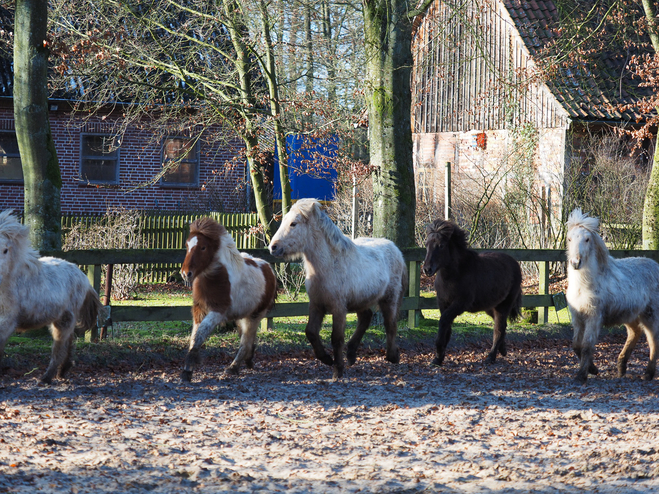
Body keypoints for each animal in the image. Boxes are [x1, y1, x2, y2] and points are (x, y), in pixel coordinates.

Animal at [0, 210, 102, 384]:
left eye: (6, 250)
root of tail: (83, 278)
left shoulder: (7, 320)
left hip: (64, 320)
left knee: (59, 348)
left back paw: (47, 377)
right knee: (69, 341)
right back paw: (63, 370)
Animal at [179, 216, 278, 382]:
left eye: (203, 247)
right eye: (187, 245)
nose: (186, 274)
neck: (217, 277)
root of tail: (268, 268)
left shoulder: (218, 311)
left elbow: (200, 335)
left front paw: (187, 371)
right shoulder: (199, 310)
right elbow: (194, 338)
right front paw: (188, 370)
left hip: (255, 315)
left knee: (246, 341)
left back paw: (233, 368)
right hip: (241, 316)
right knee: (247, 337)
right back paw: (248, 360)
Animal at [268, 197, 408, 378]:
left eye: (293, 223)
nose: (273, 247)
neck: (329, 265)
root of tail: (395, 249)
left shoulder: (338, 308)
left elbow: (336, 338)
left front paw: (338, 370)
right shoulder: (316, 305)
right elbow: (310, 332)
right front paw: (326, 359)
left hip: (389, 299)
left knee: (390, 324)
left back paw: (392, 356)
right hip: (362, 301)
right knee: (366, 318)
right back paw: (351, 354)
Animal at [426, 220, 524, 366]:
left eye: (441, 245)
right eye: (426, 244)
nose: (427, 269)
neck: (454, 275)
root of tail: (515, 263)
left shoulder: (460, 304)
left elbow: (444, 321)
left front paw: (438, 354)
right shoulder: (443, 304)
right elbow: (446, 327)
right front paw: (438, 358)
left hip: (504, 305)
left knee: (499, 329)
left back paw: (491, 357)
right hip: (491, 307)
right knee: (501, 325)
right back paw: (503, 350)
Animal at [564, 208, 659, 386]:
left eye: (587, 239)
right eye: (569, 238)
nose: (575, 263)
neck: (584, 285)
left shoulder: (593, 317)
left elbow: (586, 346)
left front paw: (582, 375)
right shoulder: (578, 317)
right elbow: (576, 346)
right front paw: (593, 369)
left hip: (650, 315)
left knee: (653, 340)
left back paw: (648, 374)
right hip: (630, 315)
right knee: (635, 333)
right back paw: (621, 367)